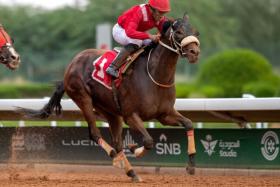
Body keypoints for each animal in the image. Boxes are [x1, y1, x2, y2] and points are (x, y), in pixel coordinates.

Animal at [22, 15, 201, 182]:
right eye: (178, 32)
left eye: (195, 32)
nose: (195, 53)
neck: (154, 75)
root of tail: (72, 63)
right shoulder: (131, 115)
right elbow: (149, 141)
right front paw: (134, 148)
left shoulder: (164, 114)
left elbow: (188, 124)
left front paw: (191, 166)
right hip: (83, 99)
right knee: (96, 135)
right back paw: (116, 158)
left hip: (111, 111)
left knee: (117, 142)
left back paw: (132, 172)